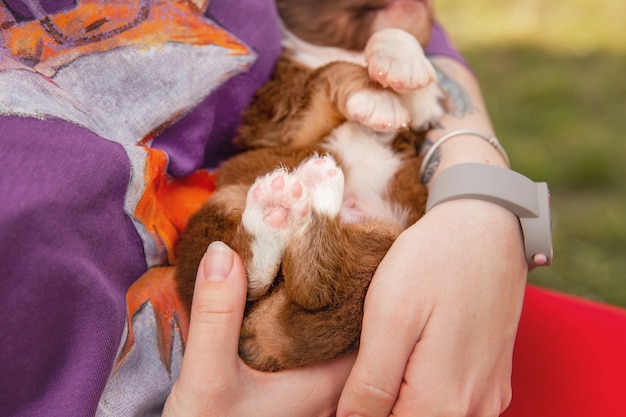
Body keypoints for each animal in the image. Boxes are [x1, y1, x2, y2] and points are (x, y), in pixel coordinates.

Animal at [173, 0, 442, 370]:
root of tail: (266, 339)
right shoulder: (282, 117)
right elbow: (329, 73)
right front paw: (377, 97)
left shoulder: (417, 121)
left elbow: (410, 81)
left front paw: (402, 64)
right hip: (225, 203)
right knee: (263, 279)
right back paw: (288, 203)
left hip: (385, 240)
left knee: (315, 286)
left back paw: (308, 193)